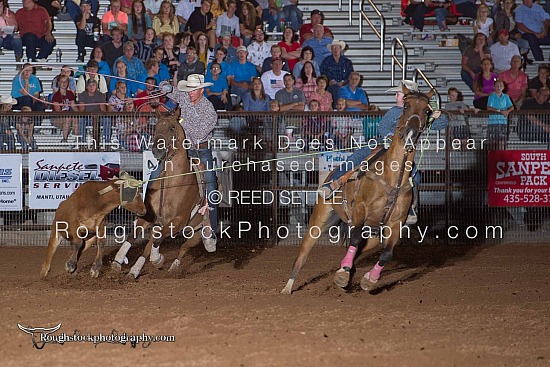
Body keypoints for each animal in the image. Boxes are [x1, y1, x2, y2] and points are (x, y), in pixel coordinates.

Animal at [111, 109, 217, 278]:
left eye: (172, 128)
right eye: (156, 128)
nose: (157, 151)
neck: (172, 184)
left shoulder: (178, 221)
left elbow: (157, 240)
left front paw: (158, 259)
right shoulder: (149, 216)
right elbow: (132, 236)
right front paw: (118, 261)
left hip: (196, 232)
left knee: (184, 247)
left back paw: (174, 267)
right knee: (152, 243)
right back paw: (135, 270)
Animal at [282, 87, 438, 296]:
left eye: (427, 111)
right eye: (406, 106)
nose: (411, 133)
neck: (392, 177)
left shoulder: (395, 224)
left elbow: (386, 254)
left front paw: (368, 280)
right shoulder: (359, 210)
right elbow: (354, 238)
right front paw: (344, 274)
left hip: (372, 234)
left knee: (359, 251)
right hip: (321, 217)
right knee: (304, 253)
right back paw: (288, 287)